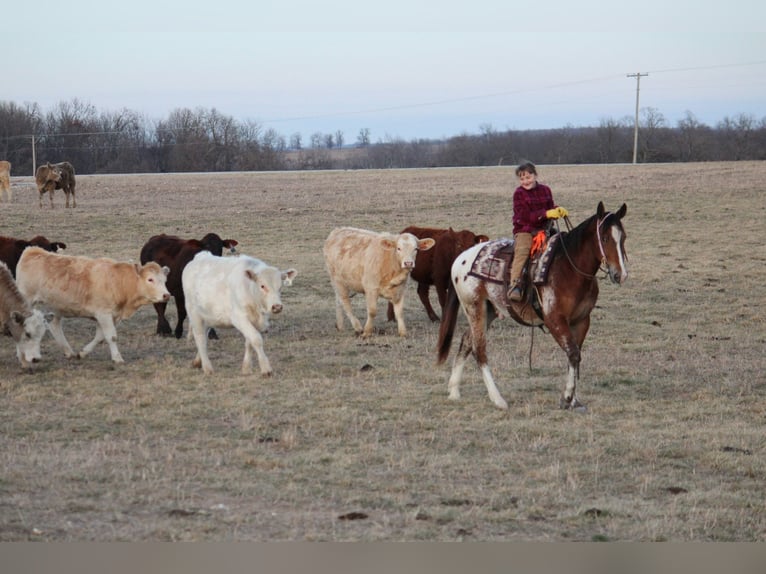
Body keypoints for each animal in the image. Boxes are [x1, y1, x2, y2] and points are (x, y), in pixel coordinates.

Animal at [436, 202, 628, 410]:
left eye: (623, 237)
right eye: (605, 238)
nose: (621, 275)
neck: (569, 268)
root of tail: (460, 258)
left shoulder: (582, 321)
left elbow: (575, 356)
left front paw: (573, 400)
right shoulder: (555, 320)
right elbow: (573, 352)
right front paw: (568, 397)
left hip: (488, 310)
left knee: (466, 341)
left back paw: (454, 391)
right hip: (474, 307)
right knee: (479, 350)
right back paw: (498, 399)